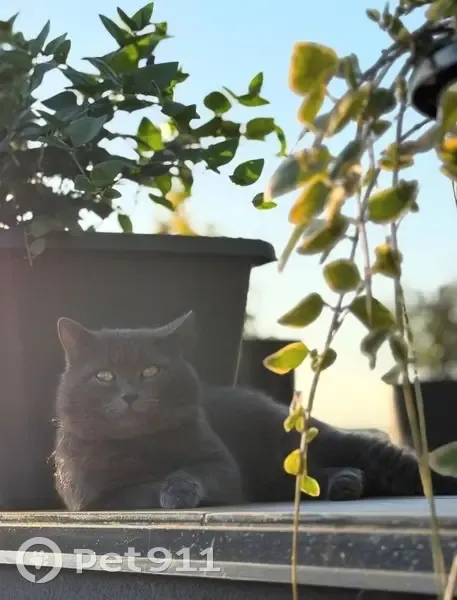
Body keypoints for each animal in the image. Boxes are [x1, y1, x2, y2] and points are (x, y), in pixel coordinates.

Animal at [53, 311, 457, 511]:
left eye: (151, 371)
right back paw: (345, 482)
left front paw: (178, 489)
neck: (140, 445)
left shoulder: (223, 467)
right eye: (103, 376)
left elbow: (194, 471)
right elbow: (141, 487)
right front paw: (169, 489)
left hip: (320, 439)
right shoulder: (93, 498)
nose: (130, 395)